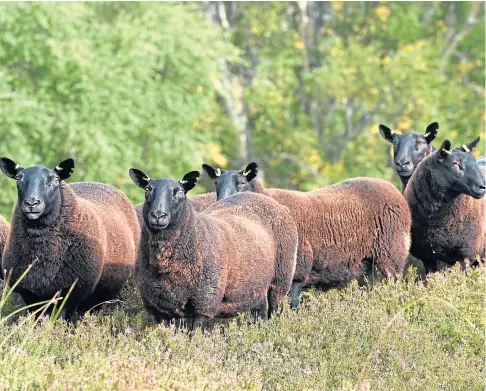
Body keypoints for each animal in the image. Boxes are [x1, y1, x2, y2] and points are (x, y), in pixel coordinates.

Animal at [0, 157, 140, 318]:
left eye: (55, 179)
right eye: (18, 178)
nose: (32, 203)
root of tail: (99, 183)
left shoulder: (69, 292)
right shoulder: (30, 294)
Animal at [128, 169, 296, 330]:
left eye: (180, 191)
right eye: (148, 189)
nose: (158, 215)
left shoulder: (204, 304)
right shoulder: (159, 310)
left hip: (281, 280)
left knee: (274, 310)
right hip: (257, 286)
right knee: (259, 313)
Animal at [201, 162, 410, 310]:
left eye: (242, 183)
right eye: (216, 183)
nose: (222, 203)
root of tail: (394, 191)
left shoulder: (298, 270)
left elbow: (291, 305)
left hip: (391, 255)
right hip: (367, 265)